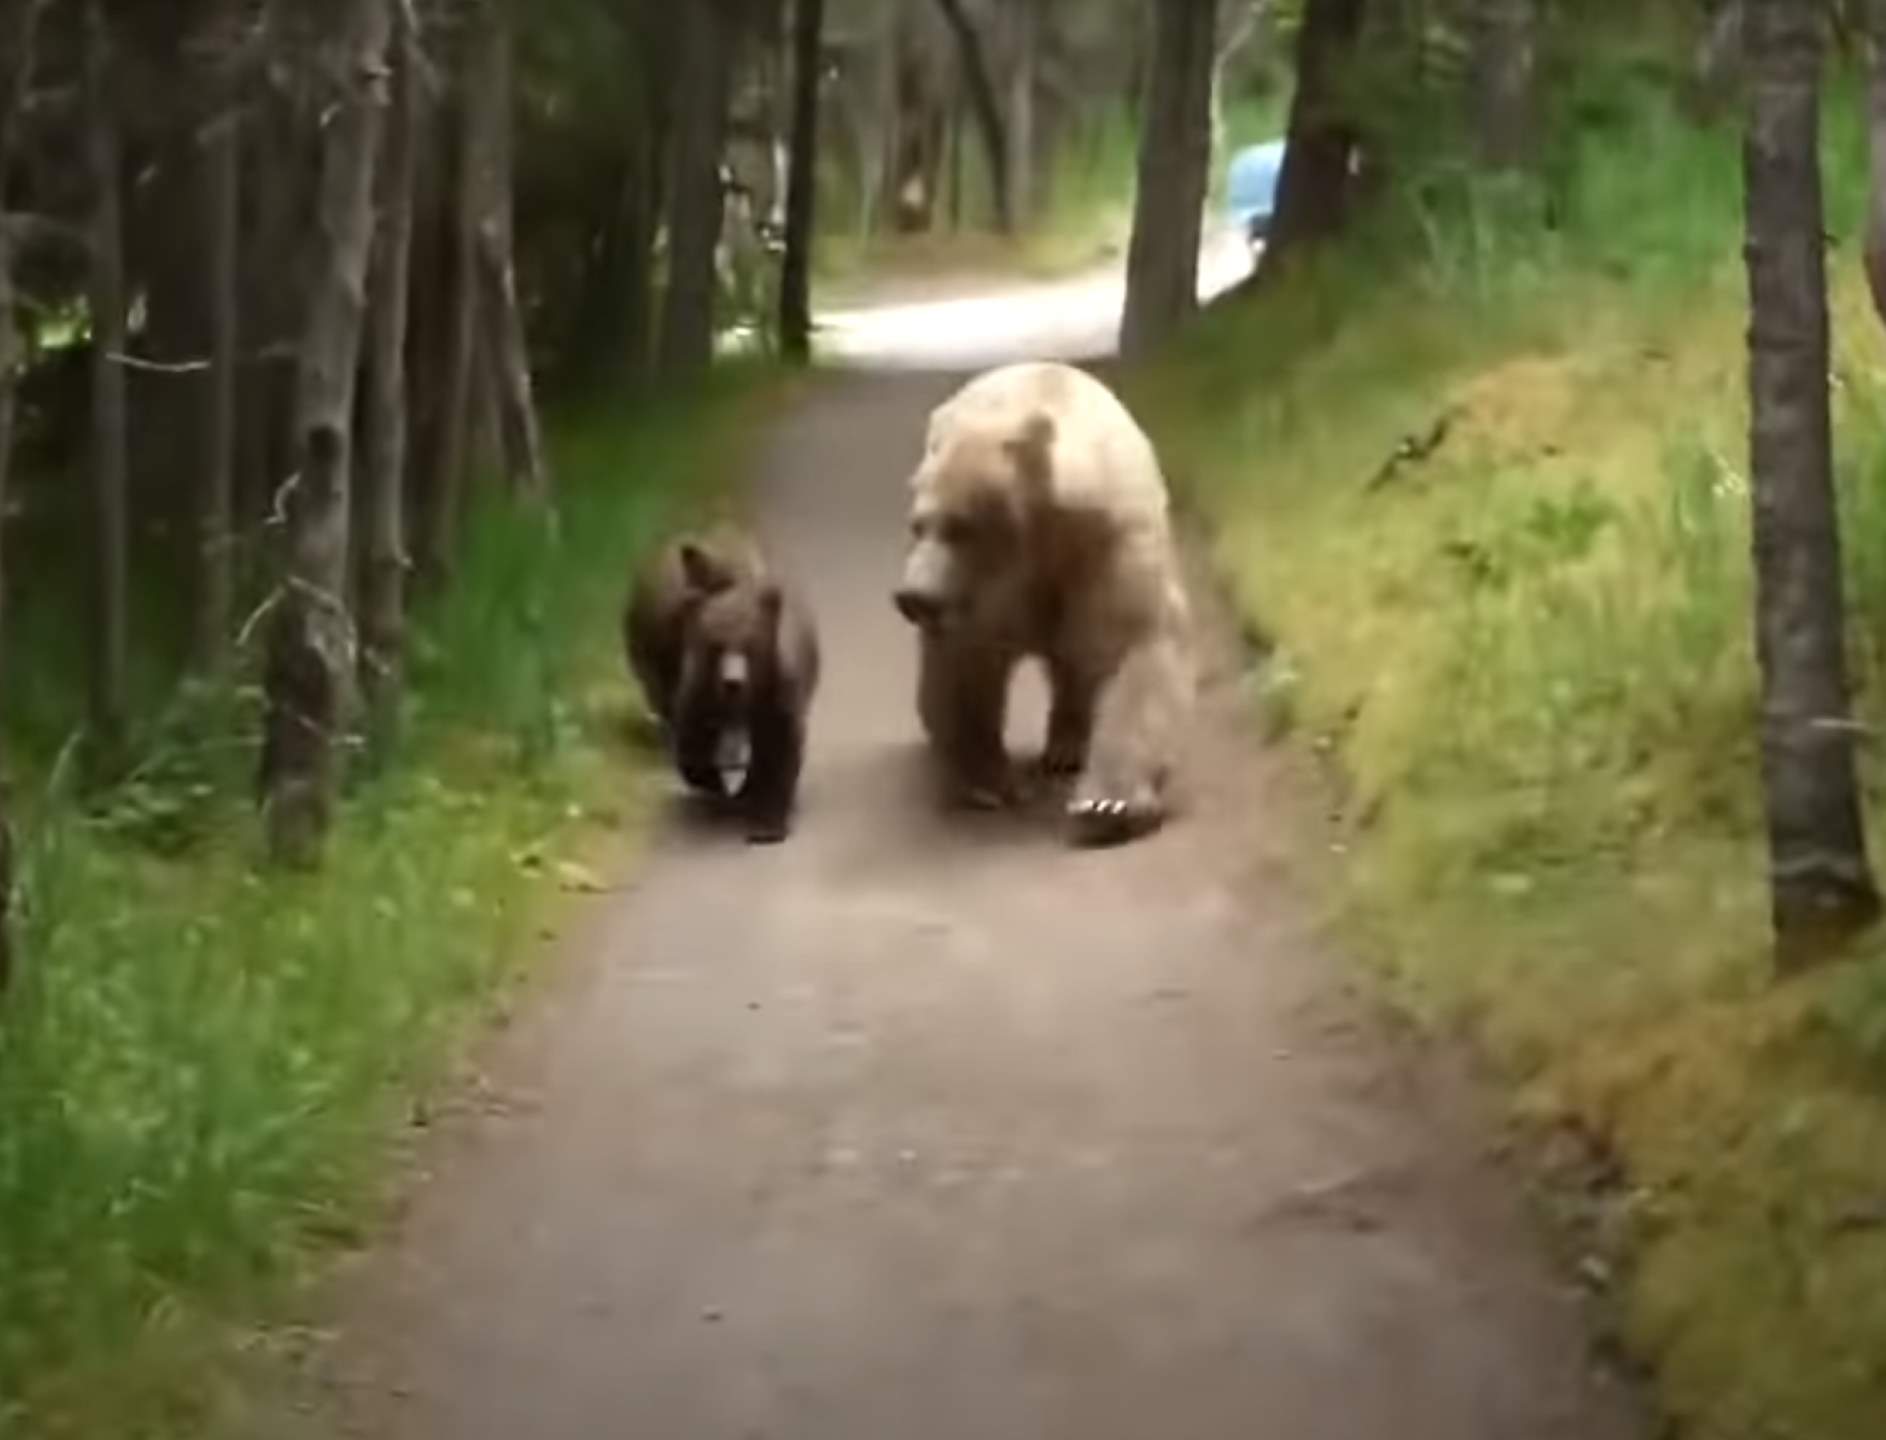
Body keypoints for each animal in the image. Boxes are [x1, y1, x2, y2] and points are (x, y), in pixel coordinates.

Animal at [886, 360, 1184, 848]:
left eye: (961, 526)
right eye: (919, 525)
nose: (913, 598)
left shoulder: (1110, 549)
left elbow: (1134, 648)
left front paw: (1108, 805)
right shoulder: (987, 596)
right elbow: (968, 665)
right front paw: (989, 783)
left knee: (1076, 663)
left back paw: (1067, 747)